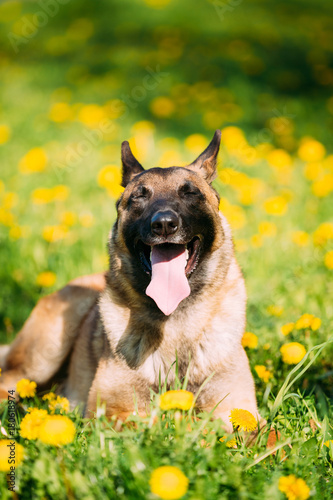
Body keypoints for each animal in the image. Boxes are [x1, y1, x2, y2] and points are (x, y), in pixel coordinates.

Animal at [0, 131, 260, 432]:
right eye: (139, 197)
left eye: (190, 193)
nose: (164, 224)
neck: (176, 320)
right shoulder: (113, 412)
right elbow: (171, 422)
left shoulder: (241, 410)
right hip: (44, 353)